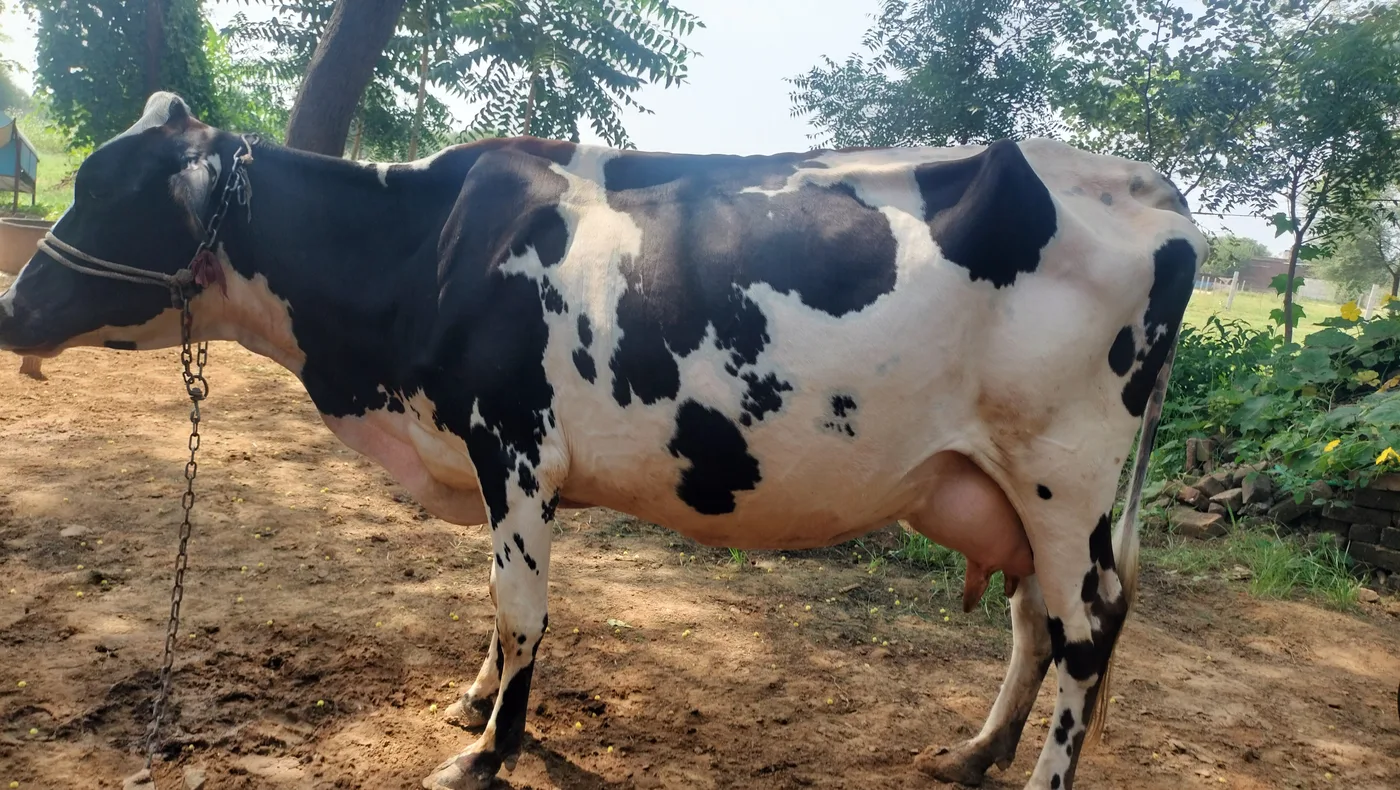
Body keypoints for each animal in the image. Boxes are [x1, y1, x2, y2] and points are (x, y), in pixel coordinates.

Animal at [0, 93, 1203, 790]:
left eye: (109, 190)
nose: (12, 309)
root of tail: (1147, 189)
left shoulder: (515, 443)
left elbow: (522, 605)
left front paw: (488, 750)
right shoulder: (492, 460)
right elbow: (495, 601)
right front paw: (475, 700)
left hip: (1064, 480)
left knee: (1086, 632)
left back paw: (1039, 777)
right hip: (1008, 486)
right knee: (1034, 621)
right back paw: (971, 753)